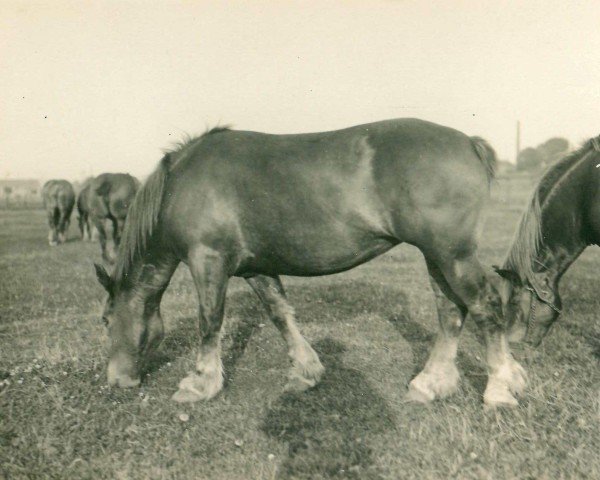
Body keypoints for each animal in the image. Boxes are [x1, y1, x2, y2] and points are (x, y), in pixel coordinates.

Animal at [92, 120, 524, 408]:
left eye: (107, 321)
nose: (116, 380)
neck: (181, 185)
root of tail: (469, 143)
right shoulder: (256, 268)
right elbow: (281, 315)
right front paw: (306, 371)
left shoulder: (208, 261)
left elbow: (209, 322)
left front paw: (200, 383)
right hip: (437, 258)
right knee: (450, 312)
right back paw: (431, 382)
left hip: (452, 256)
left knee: (485, 306)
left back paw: (499, 388)